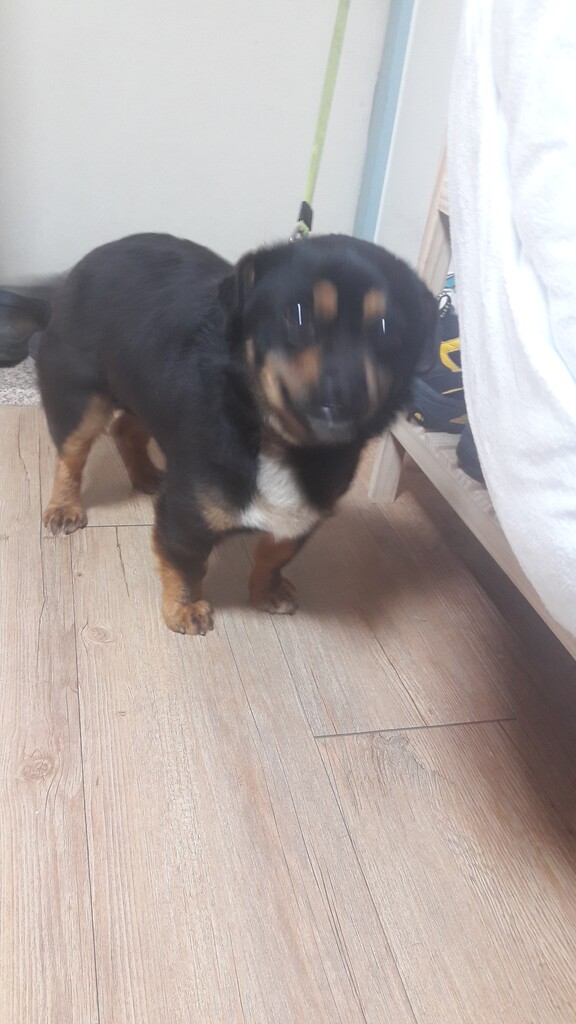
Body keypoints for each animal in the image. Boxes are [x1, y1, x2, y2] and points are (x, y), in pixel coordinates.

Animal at [37, 232, 437, 635]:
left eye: (387, 329)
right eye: (298, 317)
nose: (348, 392)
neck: (278, 439)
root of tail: (90, 260)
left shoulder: (302, 517)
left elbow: (274, 556)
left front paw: (266, 592)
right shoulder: (184, 512)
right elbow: (185, 564)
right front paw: (184, 609)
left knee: (125, 429)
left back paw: (146, 475)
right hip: (81, 401)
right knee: (71, 455)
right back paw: (64, 507)